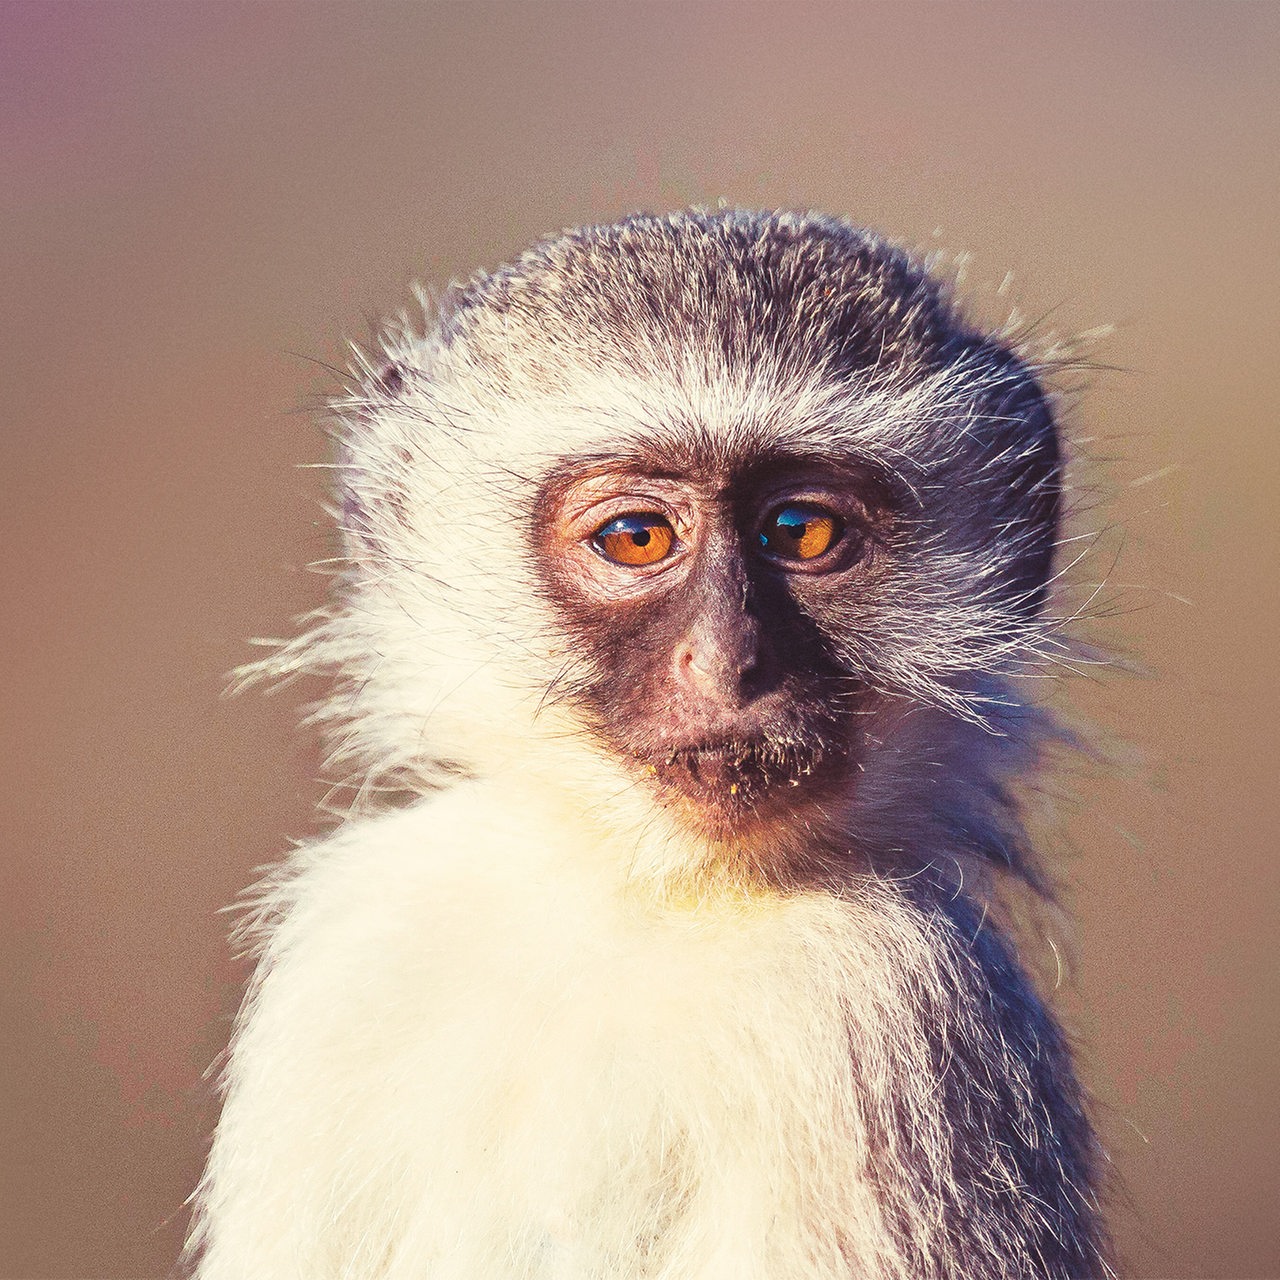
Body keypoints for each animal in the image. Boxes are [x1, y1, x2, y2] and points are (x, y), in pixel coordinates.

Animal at [189, 209, 1111, 1280]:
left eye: (800, 531)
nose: (728, 664)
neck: (643, 900)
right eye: (636, 537)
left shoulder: (891, 1003)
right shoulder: (353, 947)